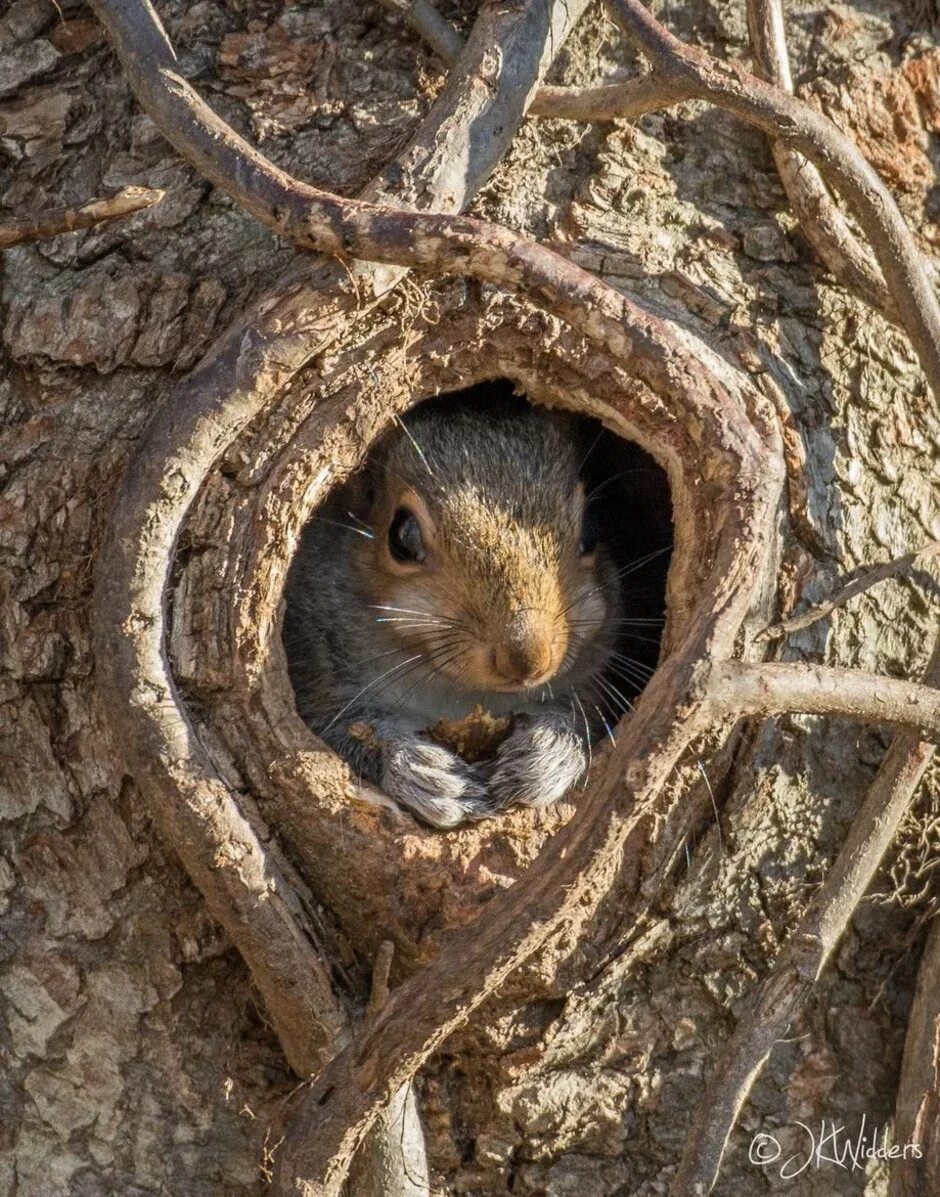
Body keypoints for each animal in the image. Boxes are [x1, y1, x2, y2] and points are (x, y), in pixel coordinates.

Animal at [280, 387, 665, 828]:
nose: (527, 658)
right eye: (402, 537)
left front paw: (546, 753)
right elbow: (344, 729)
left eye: (593, 528)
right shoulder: (317, 673)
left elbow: (583, 713)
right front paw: (422, 771)